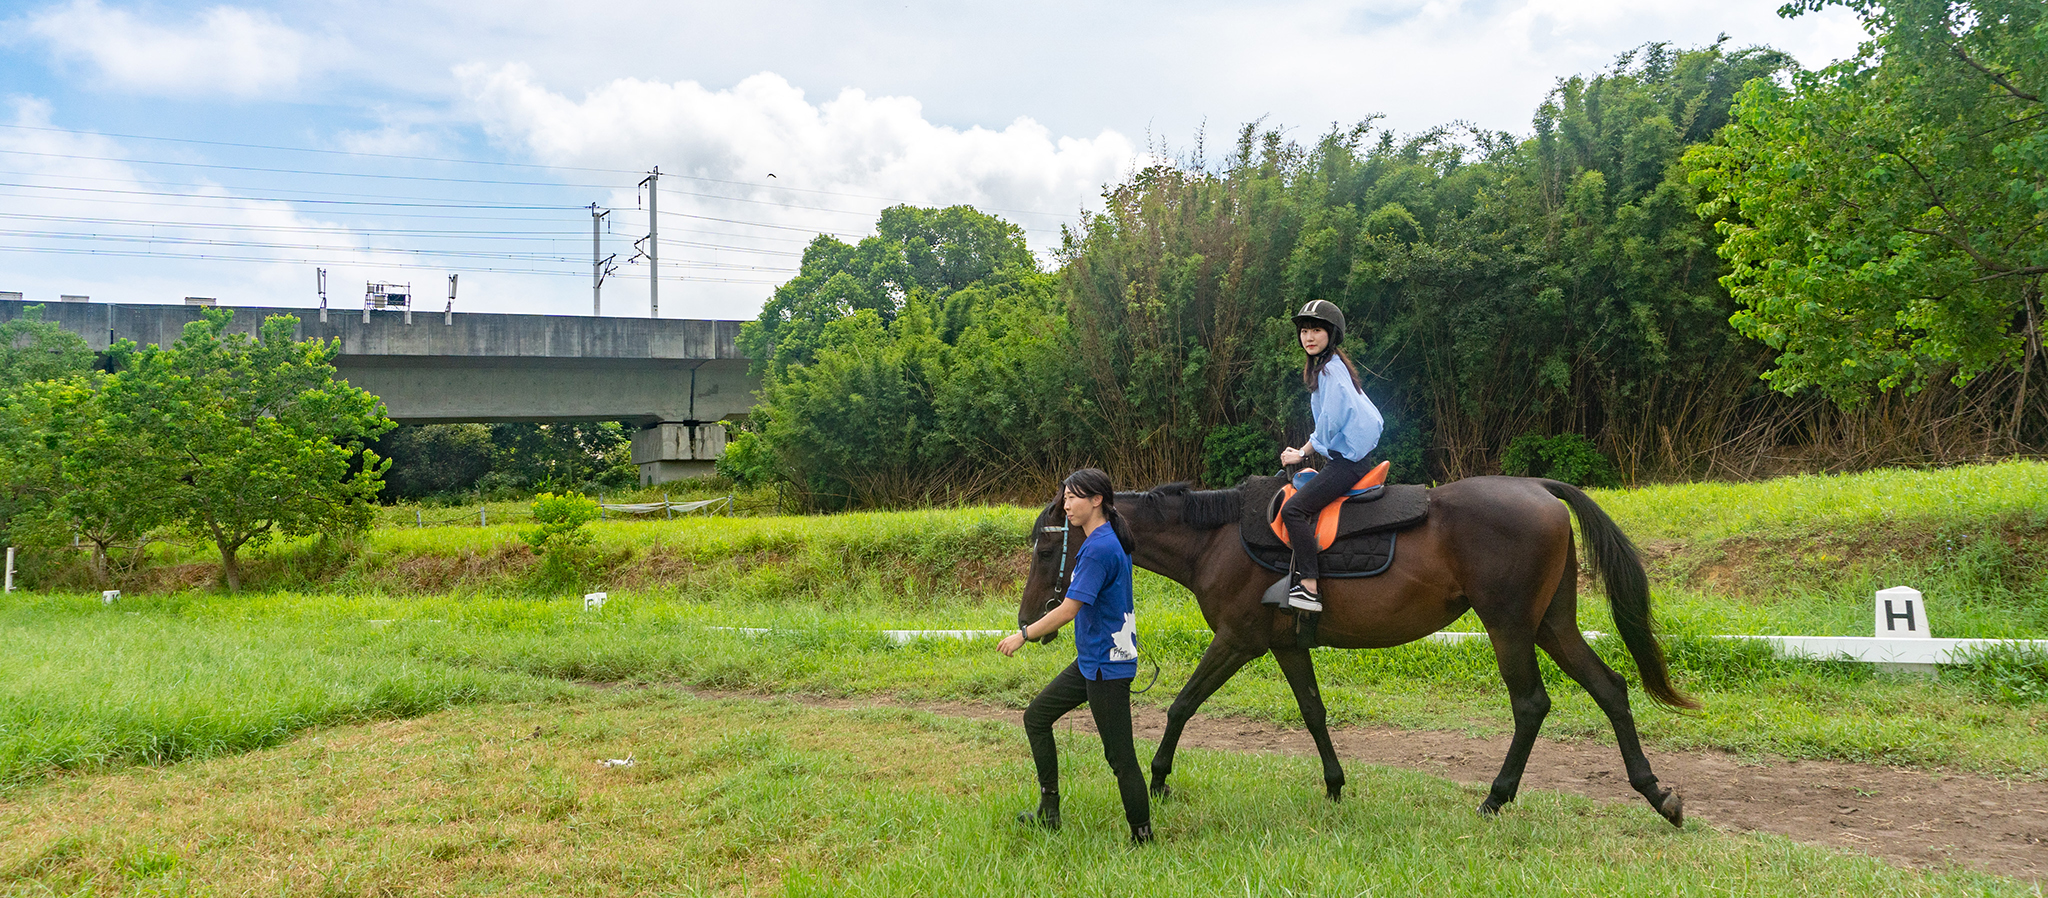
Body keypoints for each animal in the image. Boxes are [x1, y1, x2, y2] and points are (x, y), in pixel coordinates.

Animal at [1011, 477, 1695, 828]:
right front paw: (1336, 785)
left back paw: (1496, 798)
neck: (1217, 537)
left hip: (1509, 626)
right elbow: (1313, 713)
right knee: (1610, 687)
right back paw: (1656, 793)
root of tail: (1540, 489)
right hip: (1551, 625)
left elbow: (1181, 705)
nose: (1028, 623)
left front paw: (1157, 779)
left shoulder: (1237, 641)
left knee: (1531, 704)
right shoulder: (1284, 645)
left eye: (1047, 547)